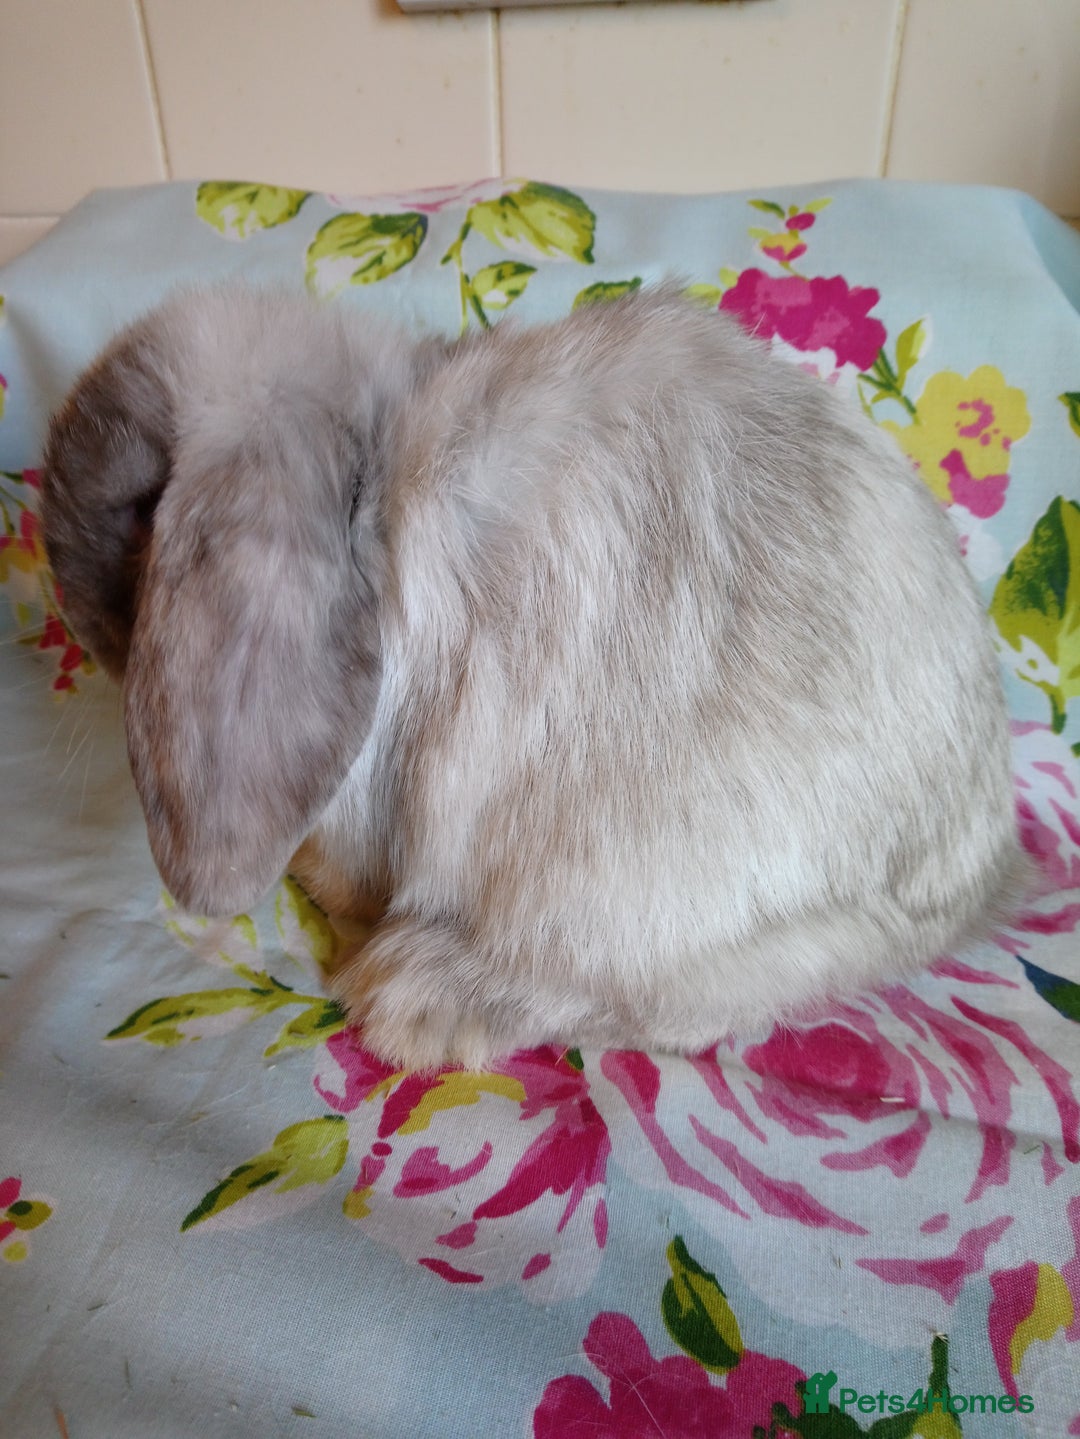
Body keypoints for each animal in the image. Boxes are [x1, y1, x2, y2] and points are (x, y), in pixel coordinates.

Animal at [40, 283, 1025, 1070]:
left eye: (143, 509)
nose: (73, 614)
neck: (376, 499)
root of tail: (965, 868)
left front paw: (332, 896)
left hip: (619, 891)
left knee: (647, 1004)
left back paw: (414, 996)